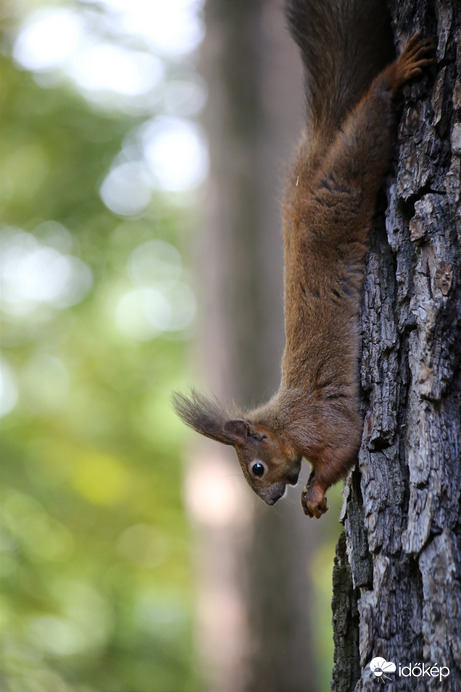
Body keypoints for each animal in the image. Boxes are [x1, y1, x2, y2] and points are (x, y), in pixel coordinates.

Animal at [173, 0, 434, 516]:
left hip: (342, 188)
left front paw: (314, 492)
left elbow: (345, 446)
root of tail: (311, 167)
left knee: (363, 137)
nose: (272, 500)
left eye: (256, 468)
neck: (284, 421)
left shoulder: (320, 421)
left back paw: (393, 77)